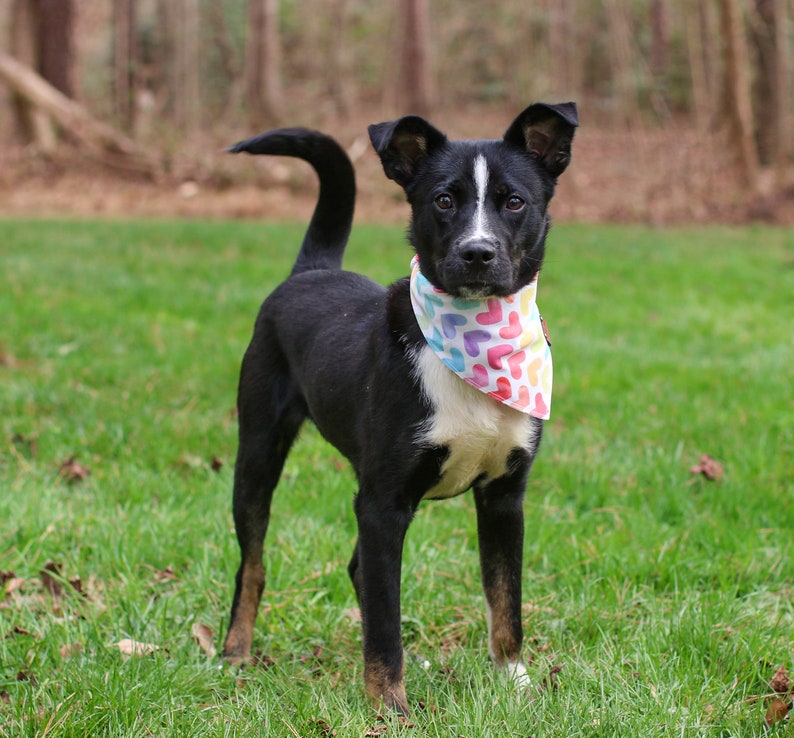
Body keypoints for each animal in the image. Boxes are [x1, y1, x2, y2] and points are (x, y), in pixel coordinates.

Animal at [221, 100, 576, 712]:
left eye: (514, 200)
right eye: (443, 200)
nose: (477, 253)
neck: (475, 337)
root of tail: (311, 269)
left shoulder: (505, 495)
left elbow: (505, 601)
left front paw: (514, 684)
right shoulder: (383, 504)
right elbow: (385, 622)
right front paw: (388, 705)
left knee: (356, 568)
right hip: (258, 451)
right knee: (254, 564)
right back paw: (235, 652)